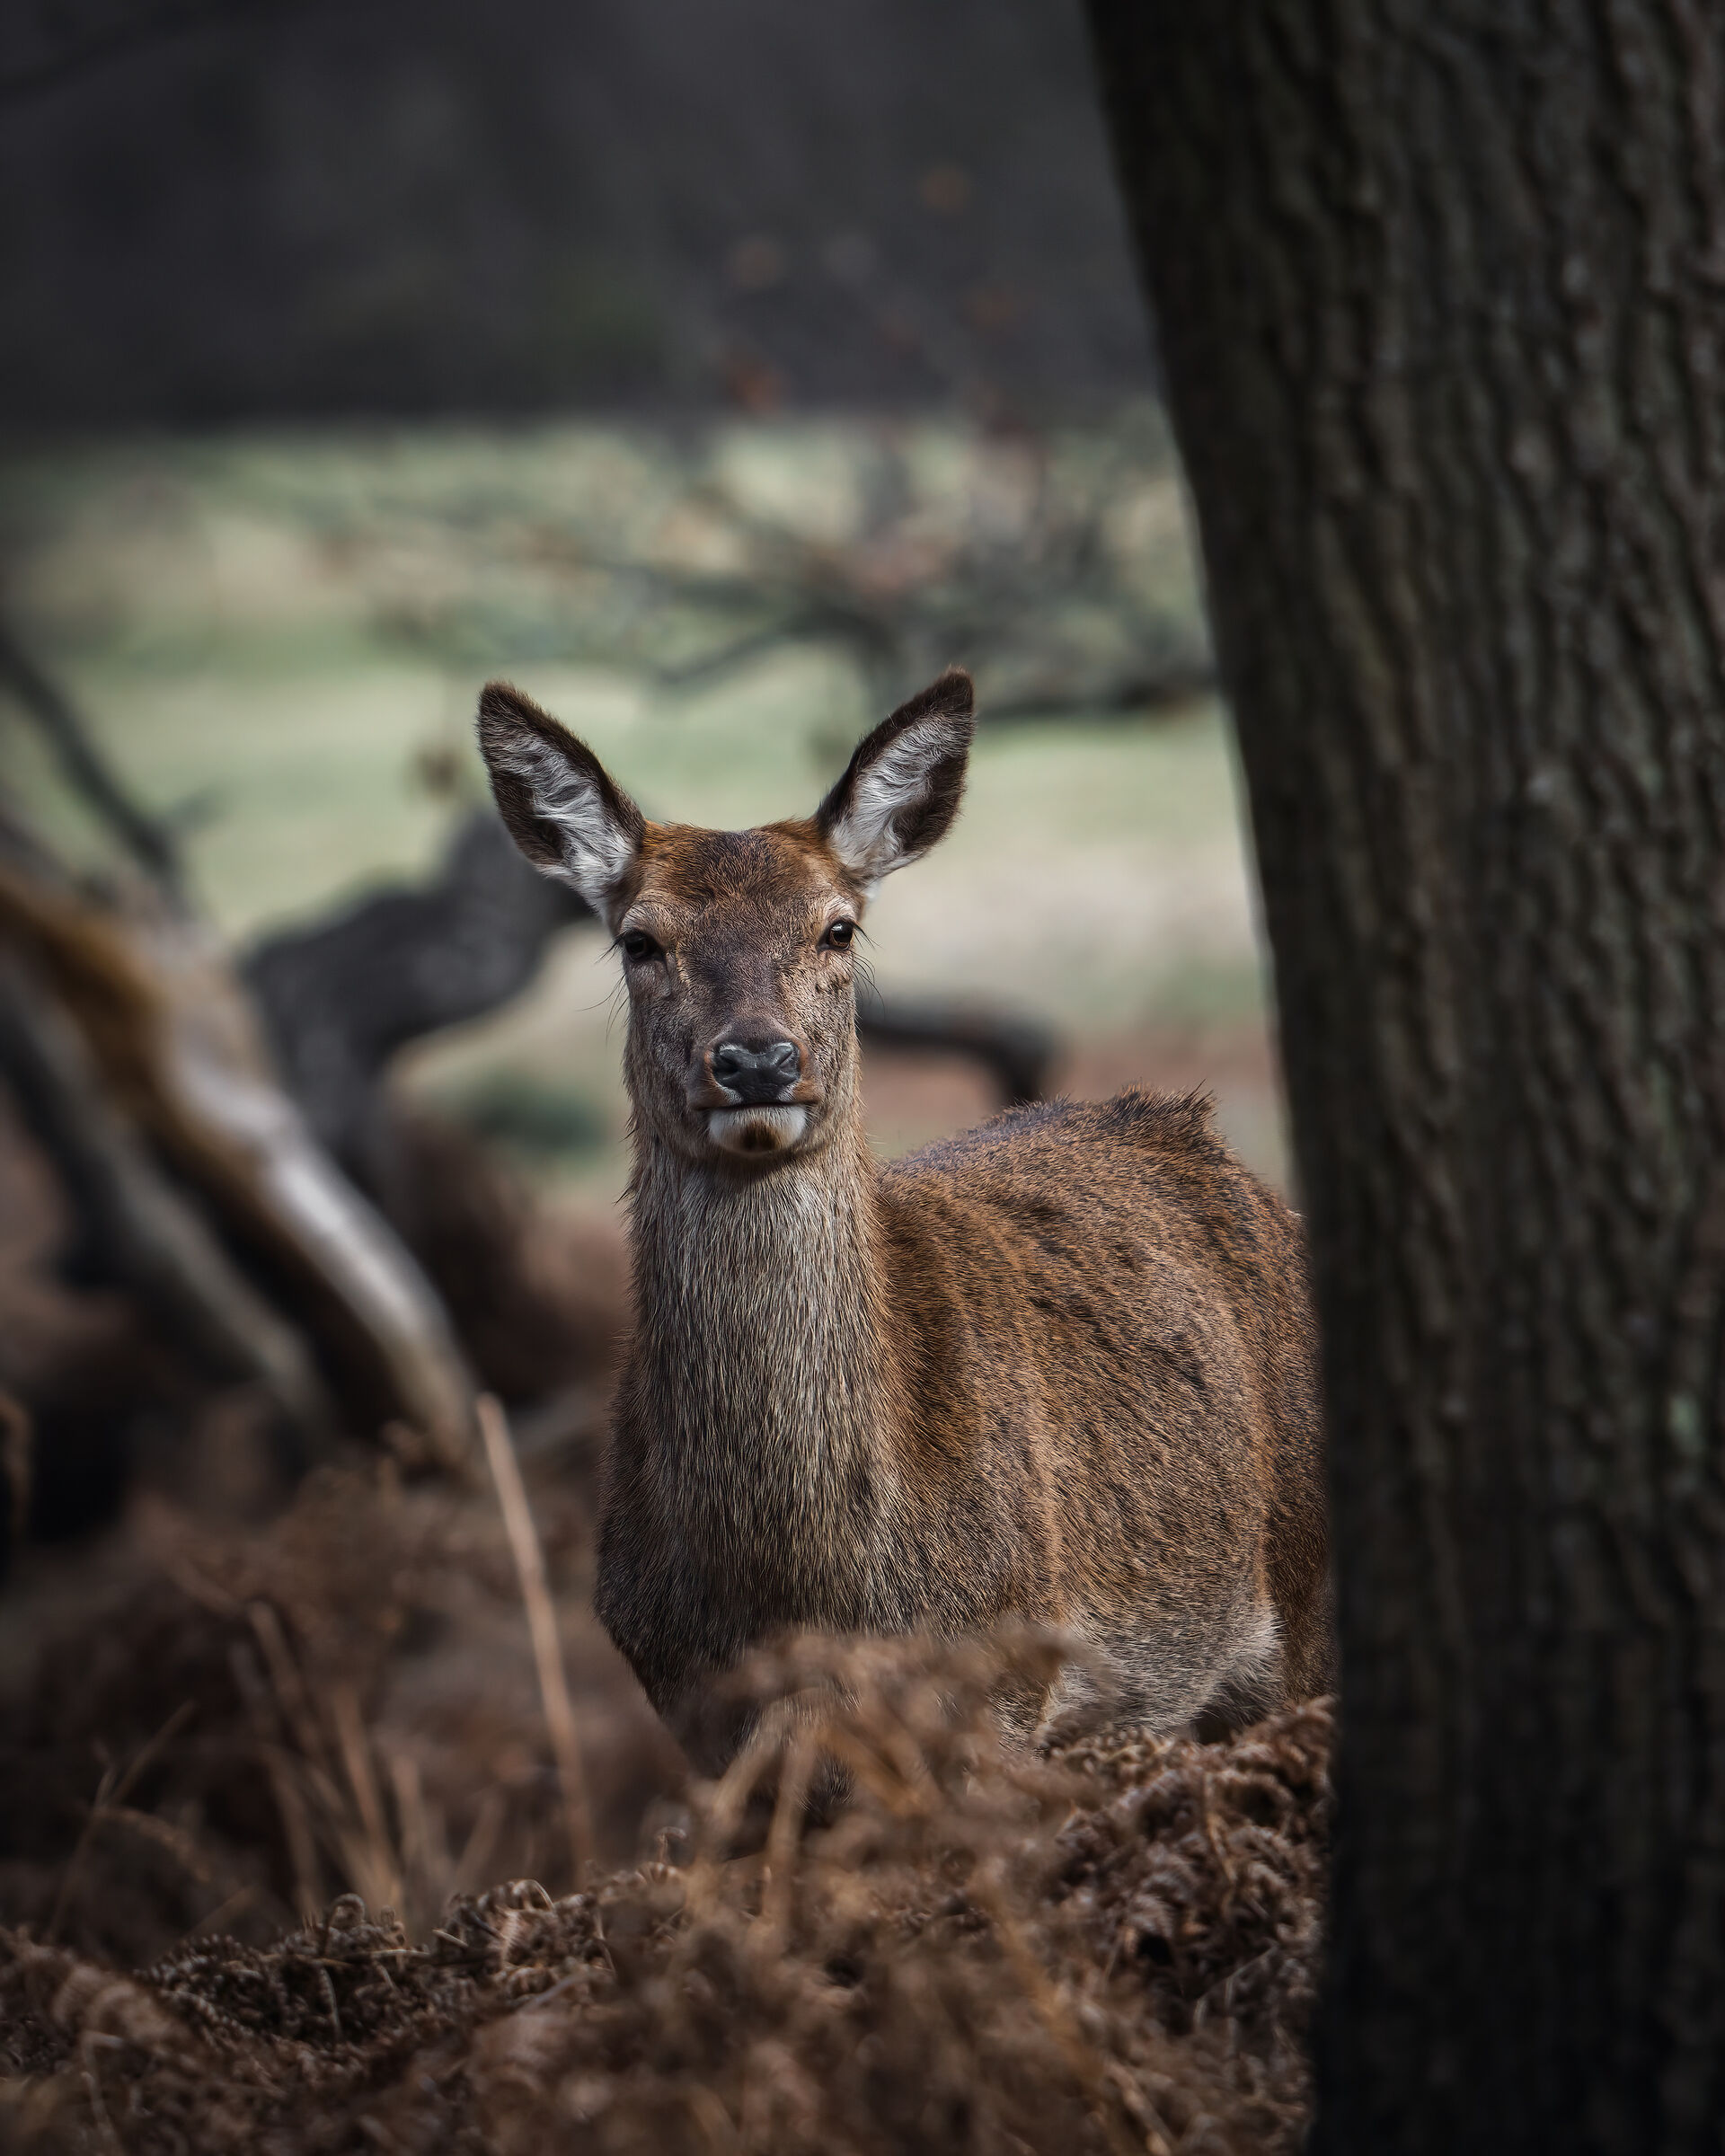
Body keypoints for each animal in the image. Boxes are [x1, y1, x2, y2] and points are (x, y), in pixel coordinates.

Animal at [477, 667, 1331, 1769]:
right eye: (640, 941)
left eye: (837, 927)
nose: (758, 1058)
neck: (803, 1590)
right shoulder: (689, 1710)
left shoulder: (1006, 1682)